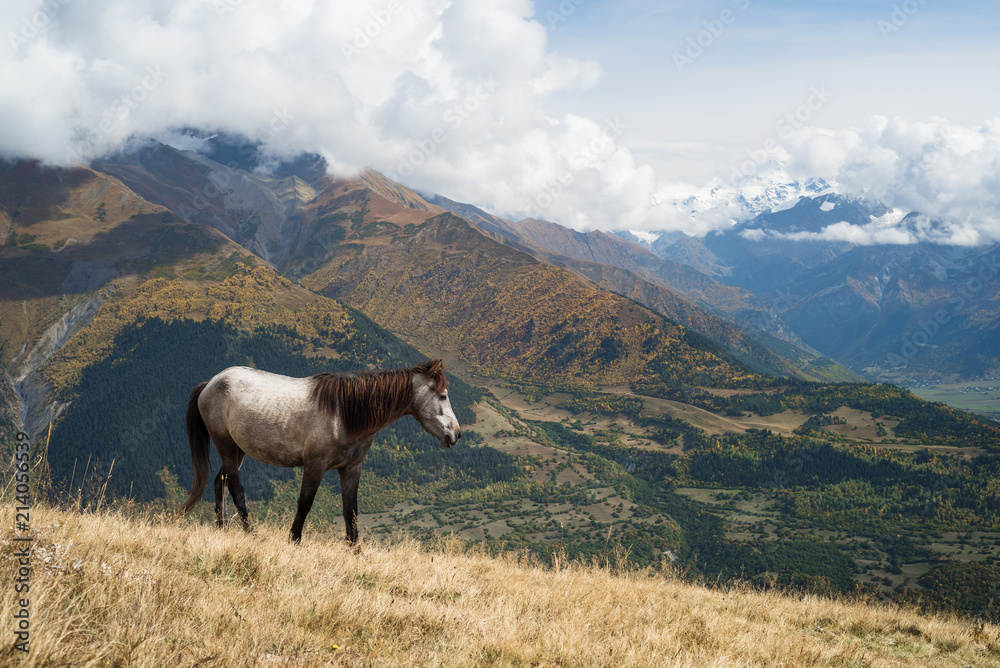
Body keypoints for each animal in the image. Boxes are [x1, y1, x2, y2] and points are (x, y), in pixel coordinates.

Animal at [181, 359, 461, 543]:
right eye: (443, 395)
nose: (456, 434)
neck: (345, 414)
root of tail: (210, 383)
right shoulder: (314, 465)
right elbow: (305, 503)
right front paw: (293, 540)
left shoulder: (351, 469)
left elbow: (351, 511)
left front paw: (355, 550)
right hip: (226, 446)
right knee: (235, 488)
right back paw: (251, 534)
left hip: (237, 450)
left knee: (220, 482)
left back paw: (222, 530)